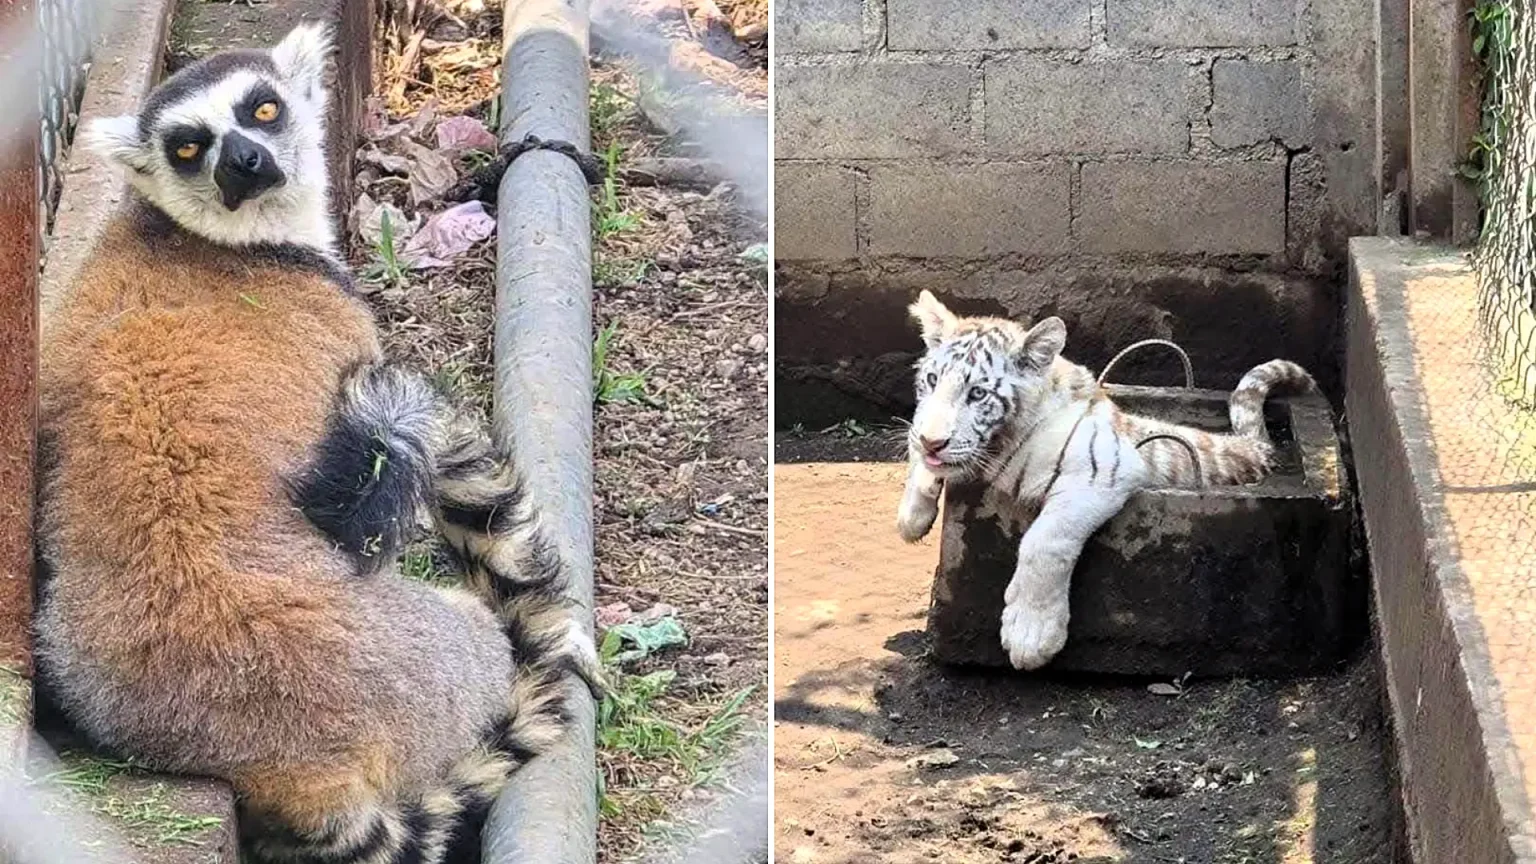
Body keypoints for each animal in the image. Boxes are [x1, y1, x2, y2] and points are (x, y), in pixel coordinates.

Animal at [895, 290, 1315, 670]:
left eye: (978, 393)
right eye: (931, 380)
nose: (933, 441)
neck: (1001, 443)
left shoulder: (1104, 469)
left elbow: (1043, 542)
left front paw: (1031, 635)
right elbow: (919, 448)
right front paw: (912, 517)